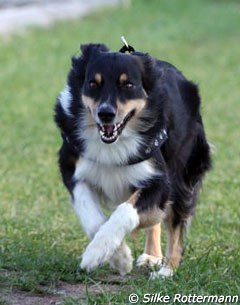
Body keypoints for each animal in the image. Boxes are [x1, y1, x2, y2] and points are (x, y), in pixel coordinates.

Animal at [54, 42, 210, 278]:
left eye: (128, 84)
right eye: (93, 83)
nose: (106, 114)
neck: (113, 143)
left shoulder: (161, 181)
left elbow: (125, 210)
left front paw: (100, 252)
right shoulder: (72, 169)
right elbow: (92, 216)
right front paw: (117, 256)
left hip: (184, 171)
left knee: (176, 224)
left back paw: (167, 271)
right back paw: (152, 256)